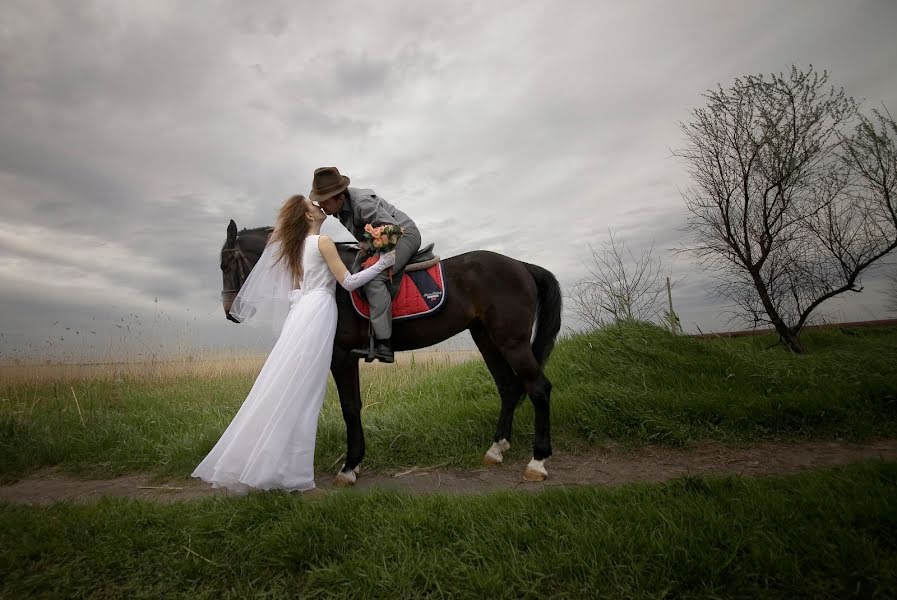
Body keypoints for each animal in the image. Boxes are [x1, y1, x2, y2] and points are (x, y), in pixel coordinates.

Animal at [219, 220, 560, 482]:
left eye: (226, 263)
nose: (229, 312)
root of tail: (521, 266)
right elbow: (353, 406)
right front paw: (354, 463)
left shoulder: (341, 355)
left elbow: (350, 407)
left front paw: (349, 467)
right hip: (487, 339)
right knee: (508, 387)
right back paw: (496, 448)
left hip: (512, 341)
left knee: (539, 388)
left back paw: (537, 462)